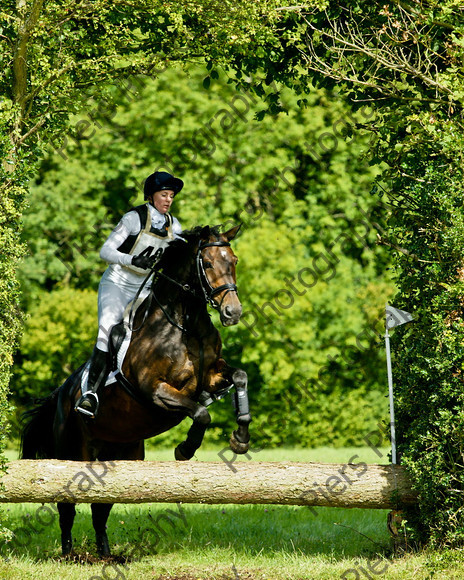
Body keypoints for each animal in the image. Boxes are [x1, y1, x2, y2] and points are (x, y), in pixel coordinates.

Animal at [20, 223, 252, 556]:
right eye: (207, 264)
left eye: (233, 261)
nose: (233, 312)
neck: (184, 324)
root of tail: (62, 393)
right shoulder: (153, 391)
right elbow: (201, 413)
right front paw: (185, 449)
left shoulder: (212, 375)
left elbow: (241, 377)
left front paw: (240, 439)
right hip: (71, 453)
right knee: (67, 506)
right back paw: (69, 554)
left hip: (121, 454)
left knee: (101, 506)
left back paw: (106, 555)